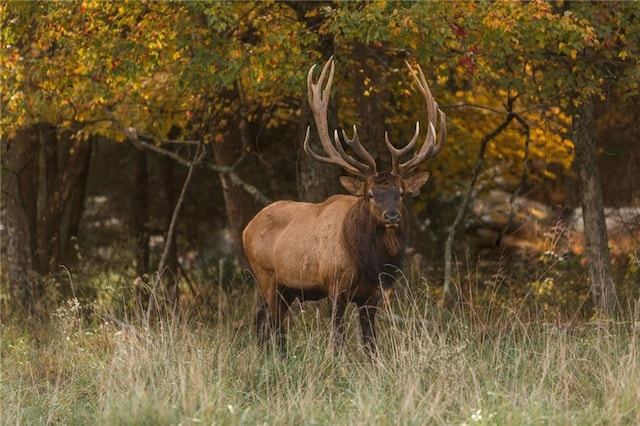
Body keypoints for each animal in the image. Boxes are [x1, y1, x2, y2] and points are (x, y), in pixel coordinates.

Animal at [242, 56, 448, 356]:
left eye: (400, 193)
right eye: (370, 194)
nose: (392, 216)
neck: (368, 261)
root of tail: (246, 228)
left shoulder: (372, 295)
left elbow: (371, 343)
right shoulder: (334, 286)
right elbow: (336, 340)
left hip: (286, 288)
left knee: (260, 318)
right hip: (266, 276)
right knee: (277, 327)